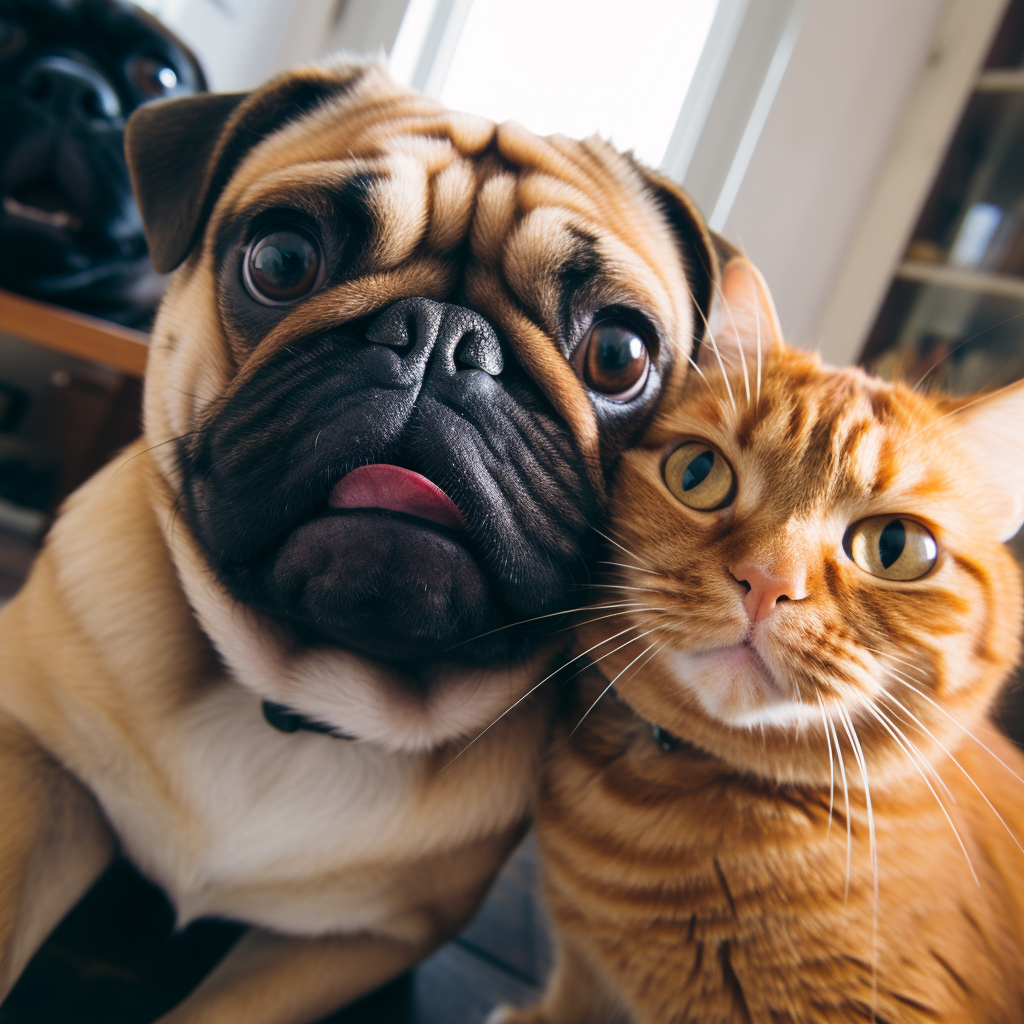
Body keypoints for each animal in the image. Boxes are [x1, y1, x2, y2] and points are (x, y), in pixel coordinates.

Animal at [0, 58, 720, 1024]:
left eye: (618, 354)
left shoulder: (359, 941)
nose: (445, 338)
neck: (295, 699)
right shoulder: (35, 766)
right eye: (280, 260)